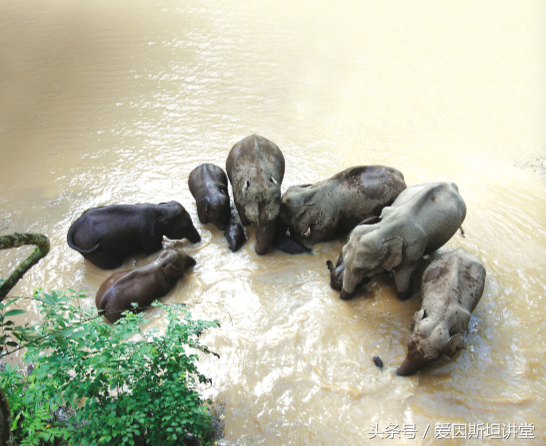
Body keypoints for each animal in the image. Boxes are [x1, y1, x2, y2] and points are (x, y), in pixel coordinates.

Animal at [66, 201, 200, 268]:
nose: (199, 240)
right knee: (113, 265)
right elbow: (154, 249)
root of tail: (74, 226)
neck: (158, 208)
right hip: (92, 249)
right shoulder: (147, 234)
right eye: (185, 227)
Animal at [278, 166, 406, 246]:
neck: (312, 190)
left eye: (286, 217)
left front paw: (310, 242)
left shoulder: (328, 217)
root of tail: (402, 177)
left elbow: (317, 239)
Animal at [336, 181, 464, 300]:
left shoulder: (413, 250)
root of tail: (452, 184)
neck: (386, 227)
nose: (341, 297)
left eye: (362, 270)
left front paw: (406, 296)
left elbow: (403, 279)